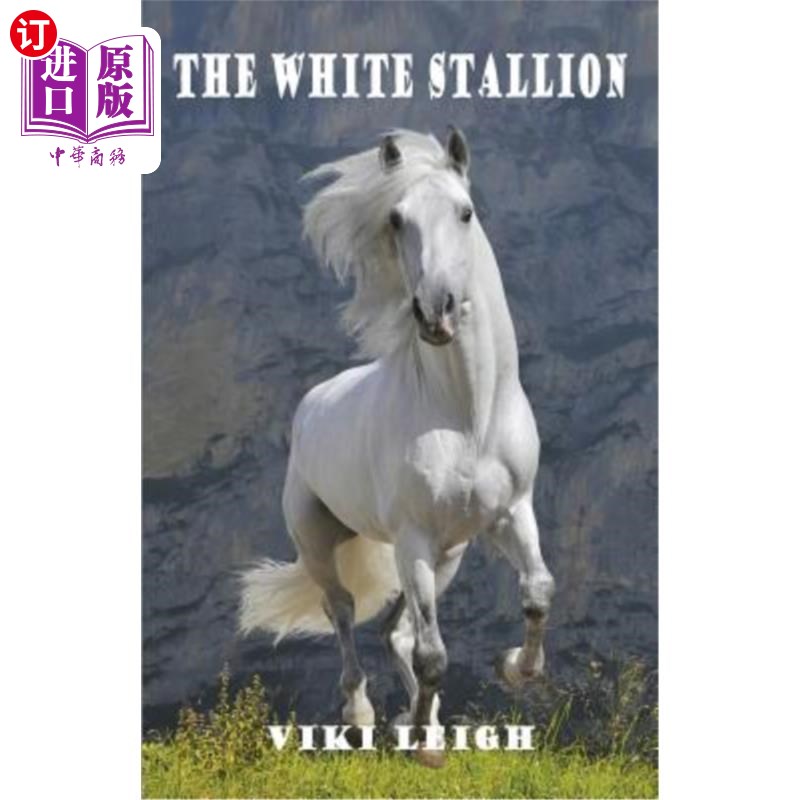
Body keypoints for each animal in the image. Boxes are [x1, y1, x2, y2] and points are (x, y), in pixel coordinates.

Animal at [240, 128, 555, 767]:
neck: (467, 416)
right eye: (396, 218)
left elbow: (537, 592)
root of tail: (311, 405)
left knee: (395, 630)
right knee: (343, 614)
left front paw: (514, 669)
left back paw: (419, 721)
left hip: (449, 556)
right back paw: (362, 718)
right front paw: (425, 749)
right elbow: (434, 655)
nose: (435, 311)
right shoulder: (413, 538)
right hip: (324, 543)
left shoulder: (512, 511)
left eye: (465, 211)